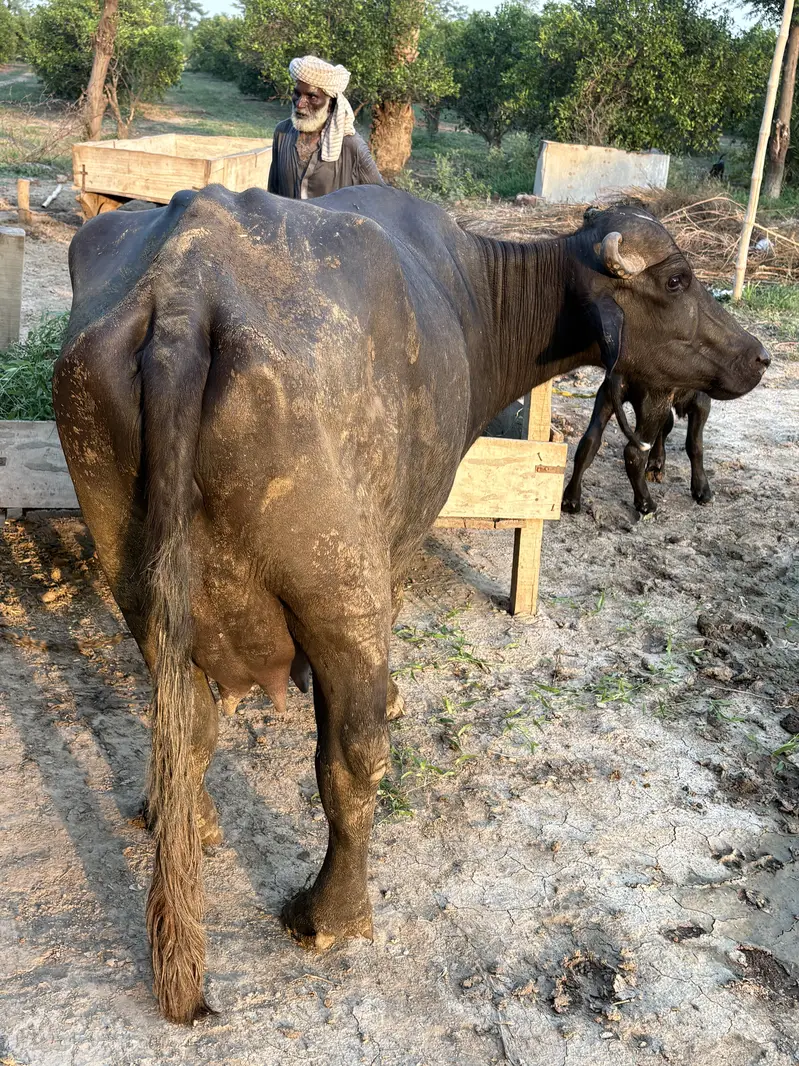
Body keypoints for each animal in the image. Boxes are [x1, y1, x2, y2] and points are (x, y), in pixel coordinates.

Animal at [562, 376, 714, 515]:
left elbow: (667, 425)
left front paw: (655, 467)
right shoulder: (701, 401)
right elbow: (695, 445)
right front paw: (702, 491)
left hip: (607, 398)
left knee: (589, 442)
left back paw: (571, 500)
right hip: (653, 407)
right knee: (634, 452)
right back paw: (646, 503)